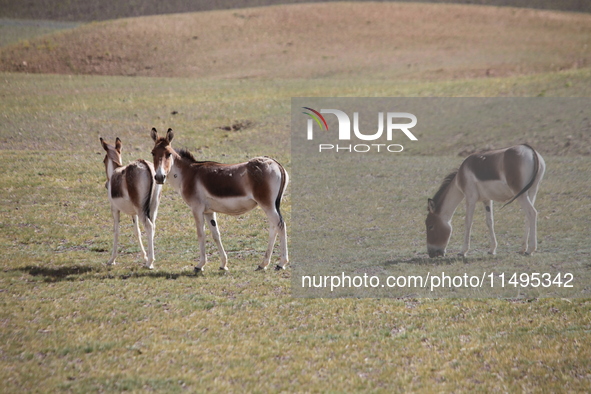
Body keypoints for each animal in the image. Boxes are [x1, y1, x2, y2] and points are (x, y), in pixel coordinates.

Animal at [100, 137, 162, 270]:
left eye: (103, 161)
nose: (106, 184)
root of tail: (144, 165)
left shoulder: (115, 209)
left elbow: (116, 231)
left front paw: (112, 260)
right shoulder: (134, 213)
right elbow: (137, 231)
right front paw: (144, 257)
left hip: (141, 210)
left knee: (149, 226)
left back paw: (150, 263)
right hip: (152, 207)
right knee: (153, 226)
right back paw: (150, 260)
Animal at [151, 129, 290, 270]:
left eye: (168, 154)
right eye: (153, 153)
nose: (159, 177)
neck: (188, 174)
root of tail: (275, 163)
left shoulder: (197, 209)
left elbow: (201, 234)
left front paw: (200, 265)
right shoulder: (208, 211)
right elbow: (216, 235)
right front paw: (223, 264)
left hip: (267, 204)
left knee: (280, 225)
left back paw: (281, 263)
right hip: (271, 205)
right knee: (273, 227)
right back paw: (263, 264)